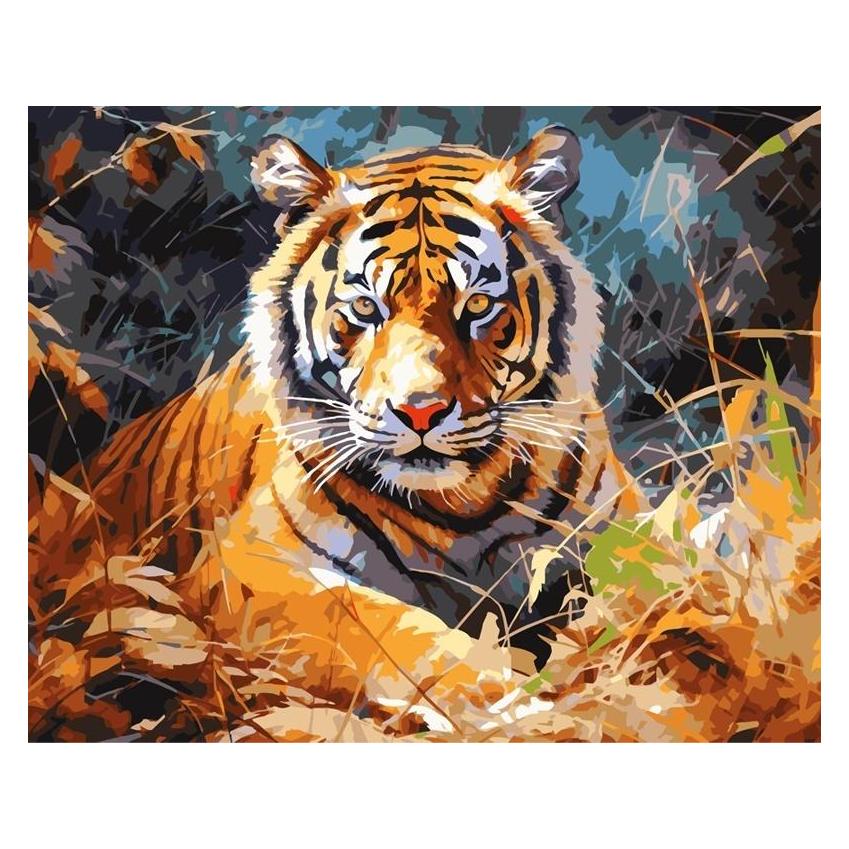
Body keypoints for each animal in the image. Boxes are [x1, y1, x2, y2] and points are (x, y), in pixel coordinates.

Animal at [29, 126, 643, 738]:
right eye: (367, 309)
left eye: (477, 305)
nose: (420, 412)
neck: (460, 507)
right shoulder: (250, 563)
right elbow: (381, 625)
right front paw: (503, 699)